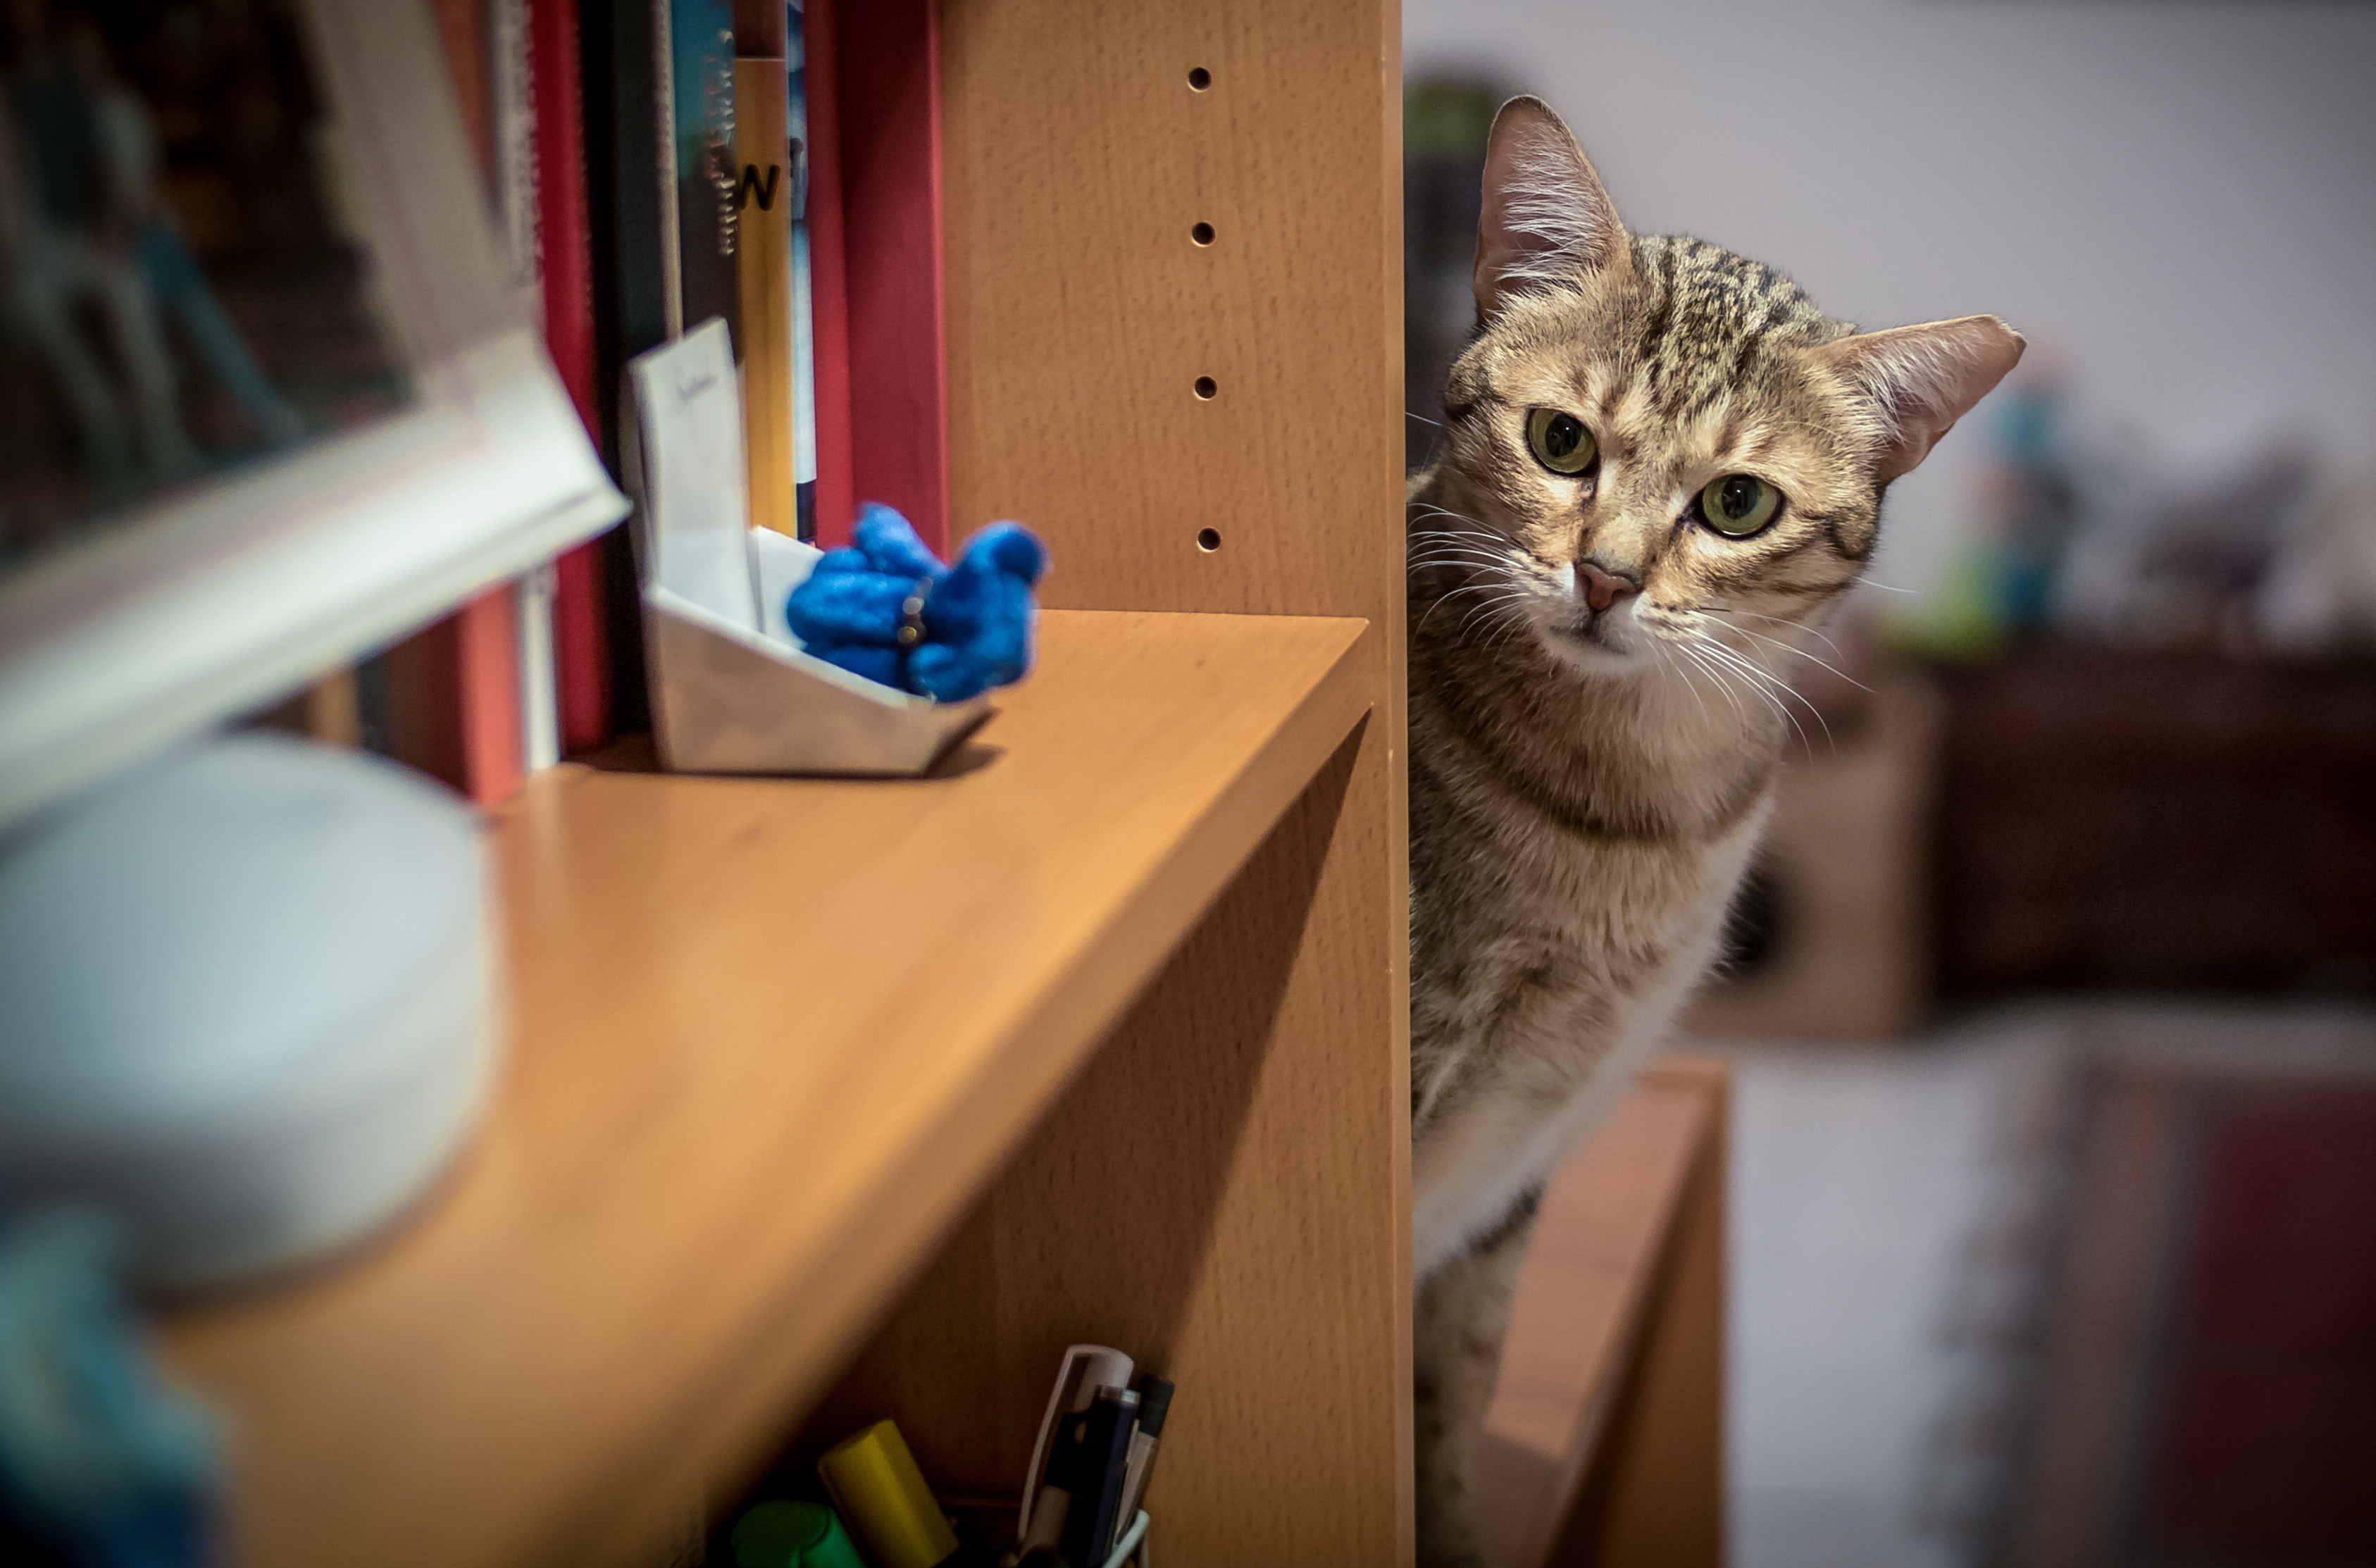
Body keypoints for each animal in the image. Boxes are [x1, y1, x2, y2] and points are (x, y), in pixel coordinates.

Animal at [1406, 101, 2024, 1568]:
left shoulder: (1512, 1169)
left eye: (1736, 505)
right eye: (1559, 441)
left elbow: (1454, 1392)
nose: (1604, 576)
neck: (1629, 824)